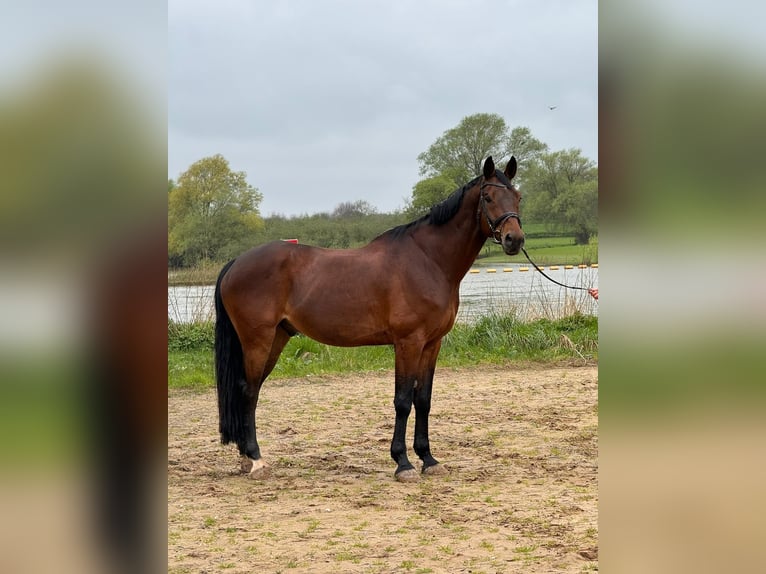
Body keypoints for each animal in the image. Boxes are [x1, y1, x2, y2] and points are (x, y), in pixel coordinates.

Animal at [216, 155, 524, 484]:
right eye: (488, 197)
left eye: (518, 196)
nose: (514, 239)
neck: (428, 260)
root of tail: (237, 262)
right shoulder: (408, 343)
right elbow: (402, 401)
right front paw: (403, 463)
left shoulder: (432, 344)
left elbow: (423, 400)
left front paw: (428, 459)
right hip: (257, 341)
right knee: (248, 391)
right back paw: (255, 460)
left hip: (277, 338)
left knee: (251, 391)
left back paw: (246, 458)